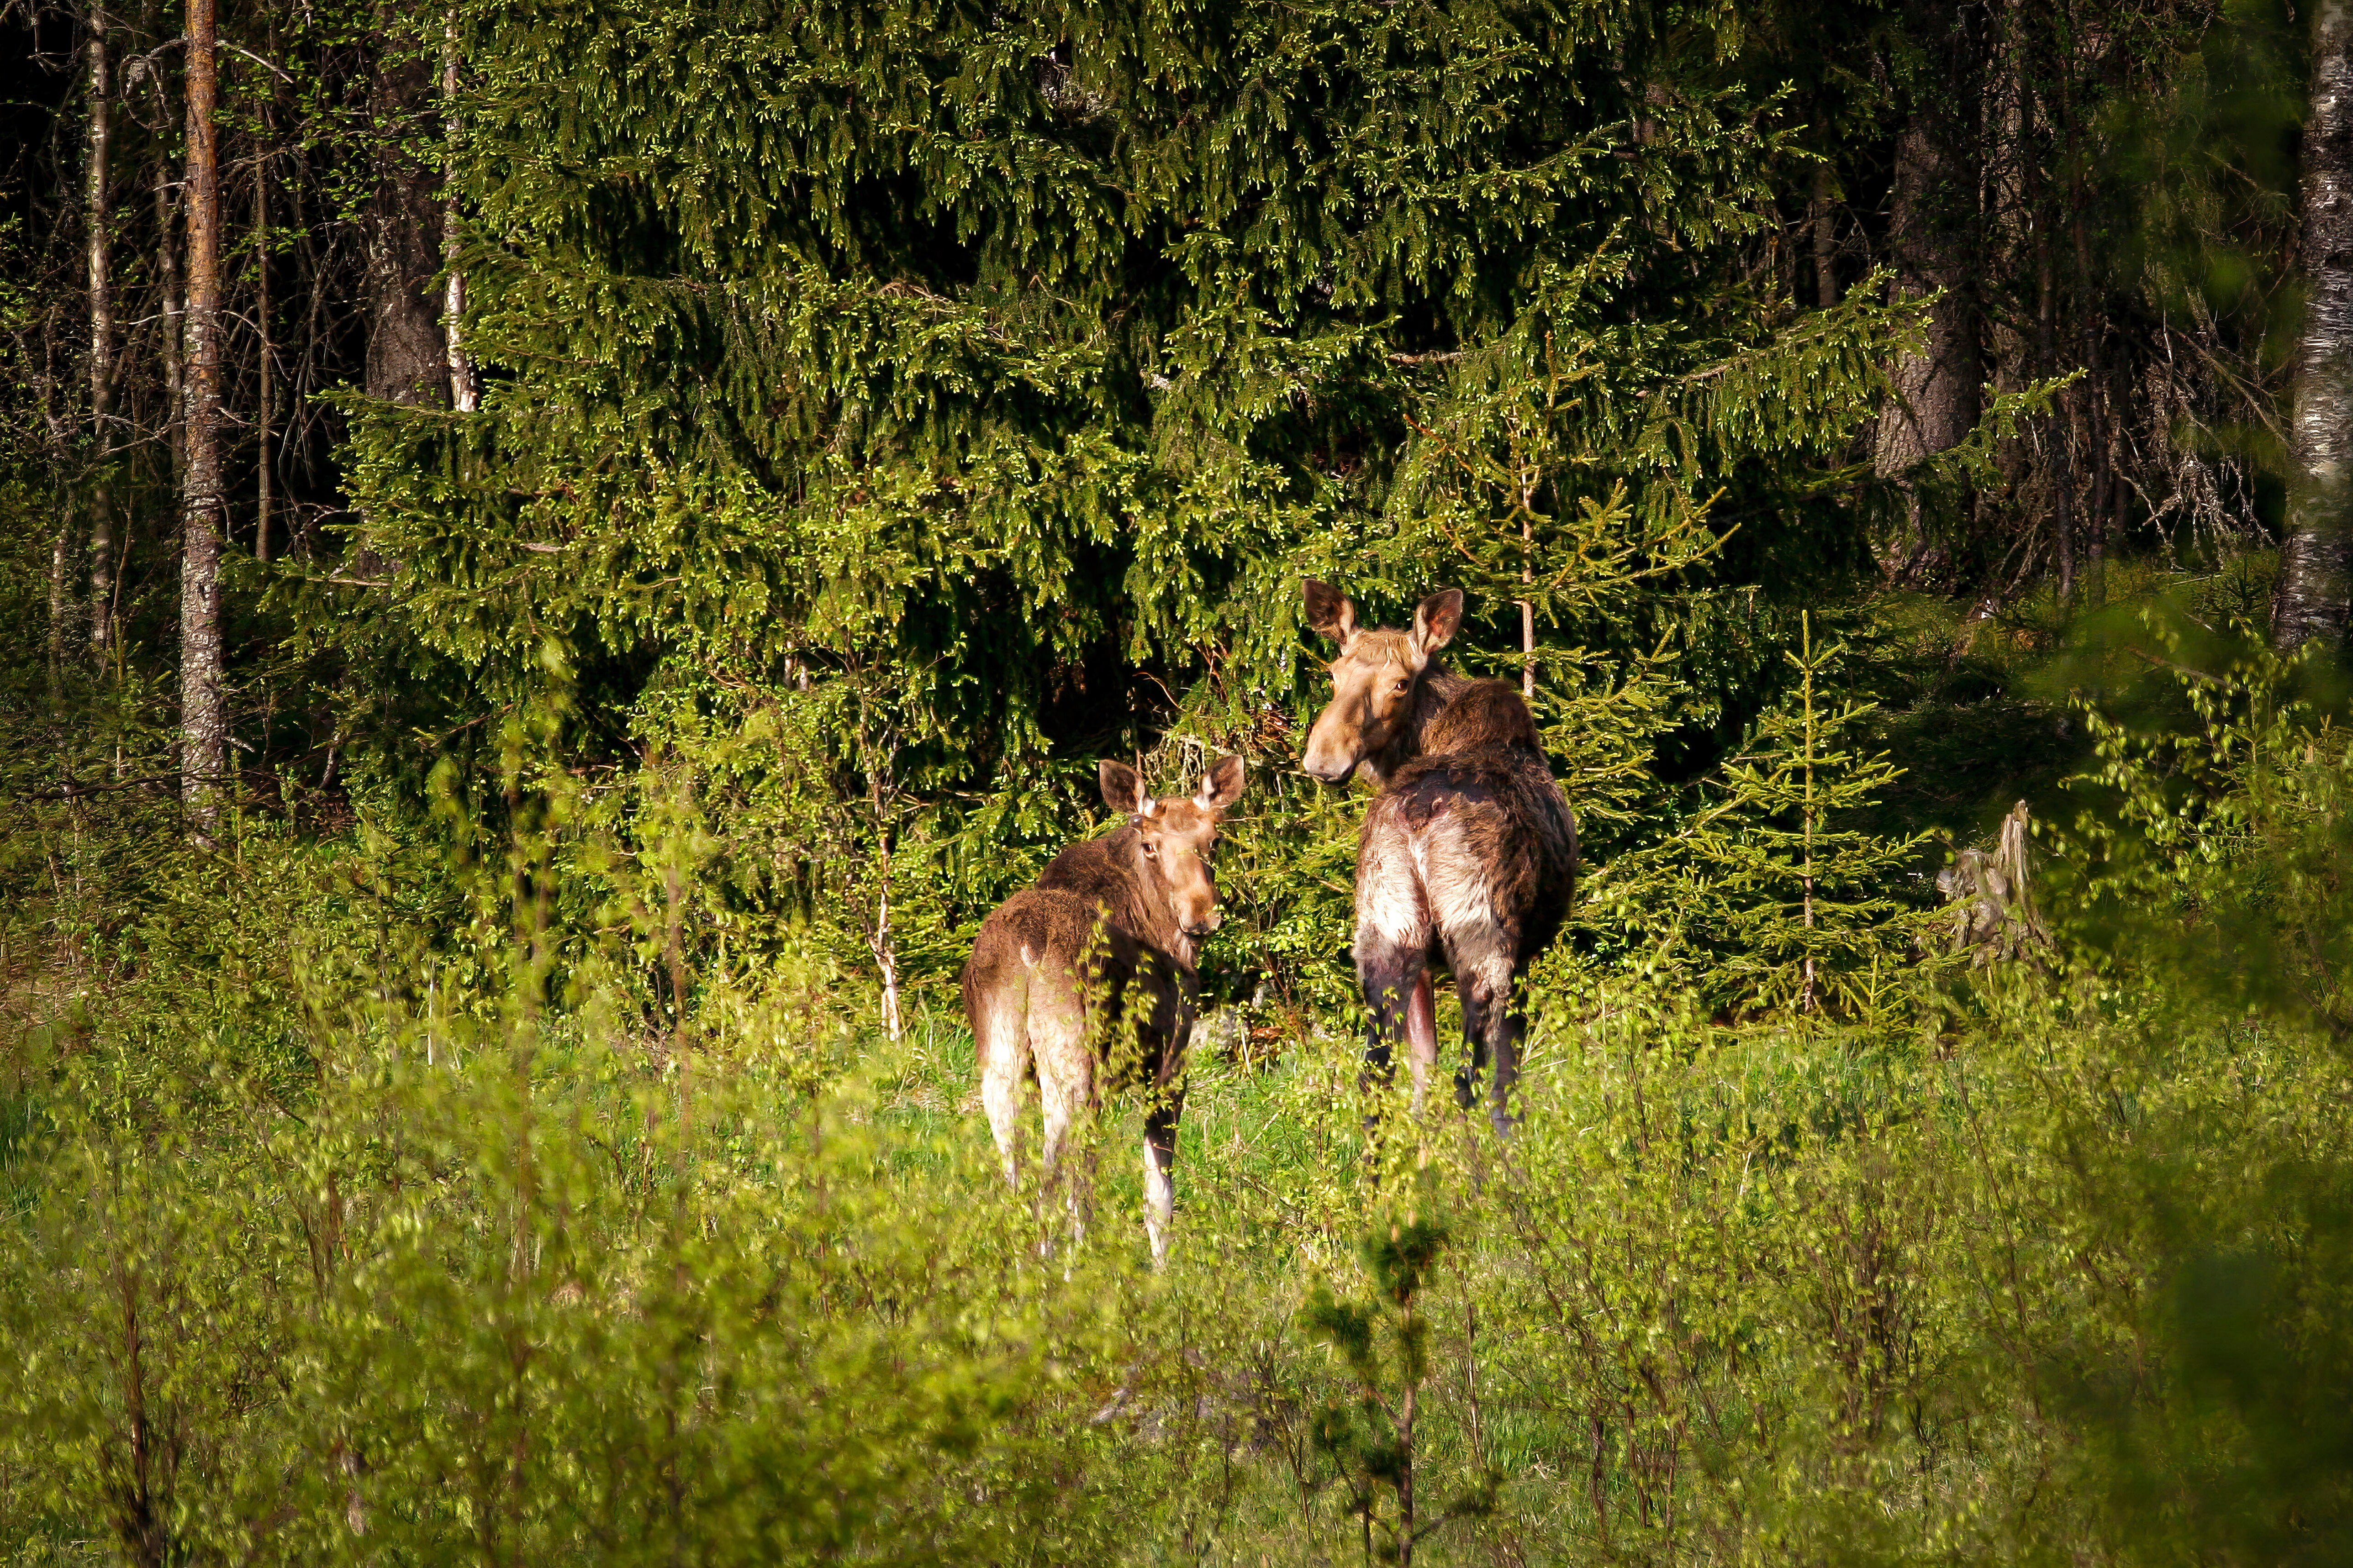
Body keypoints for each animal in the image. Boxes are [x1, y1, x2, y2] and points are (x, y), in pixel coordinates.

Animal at [961, 753, 1247, 1263]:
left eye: (1213, 839)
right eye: (1151, 846)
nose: (1201, 916)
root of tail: (1028, 947)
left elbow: (1090, 1177)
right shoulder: (1169, 1064)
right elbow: (1157, 1192)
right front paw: (1160, 1268)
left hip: (1002, 1056)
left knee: (1015, 1158)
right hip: (1071, 1057)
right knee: (1052, 1166)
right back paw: (1053, 1262)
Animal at [1299, 580, 1576, 1134]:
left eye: (1401, 683)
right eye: (1333, 674)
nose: (1323, 759)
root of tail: (1417, 819)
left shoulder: (1421, 961)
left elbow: (1421, 1066)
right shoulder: (1528, 950)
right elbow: (1506, 1071)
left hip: (1385, 934)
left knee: (1375, 1074)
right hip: (1482, 937)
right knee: (1468, 1076)